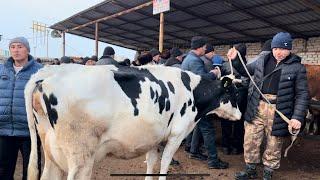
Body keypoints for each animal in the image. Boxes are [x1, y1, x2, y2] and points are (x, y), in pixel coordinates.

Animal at [24, 64, 240, 179]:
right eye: (233, 92)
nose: (240, 116)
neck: (193, 91)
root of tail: (48, 73)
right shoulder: (177, 135)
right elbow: (164, 163)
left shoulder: (155, 139)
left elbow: (151, 162)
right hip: (81, 157)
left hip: (52, 153)